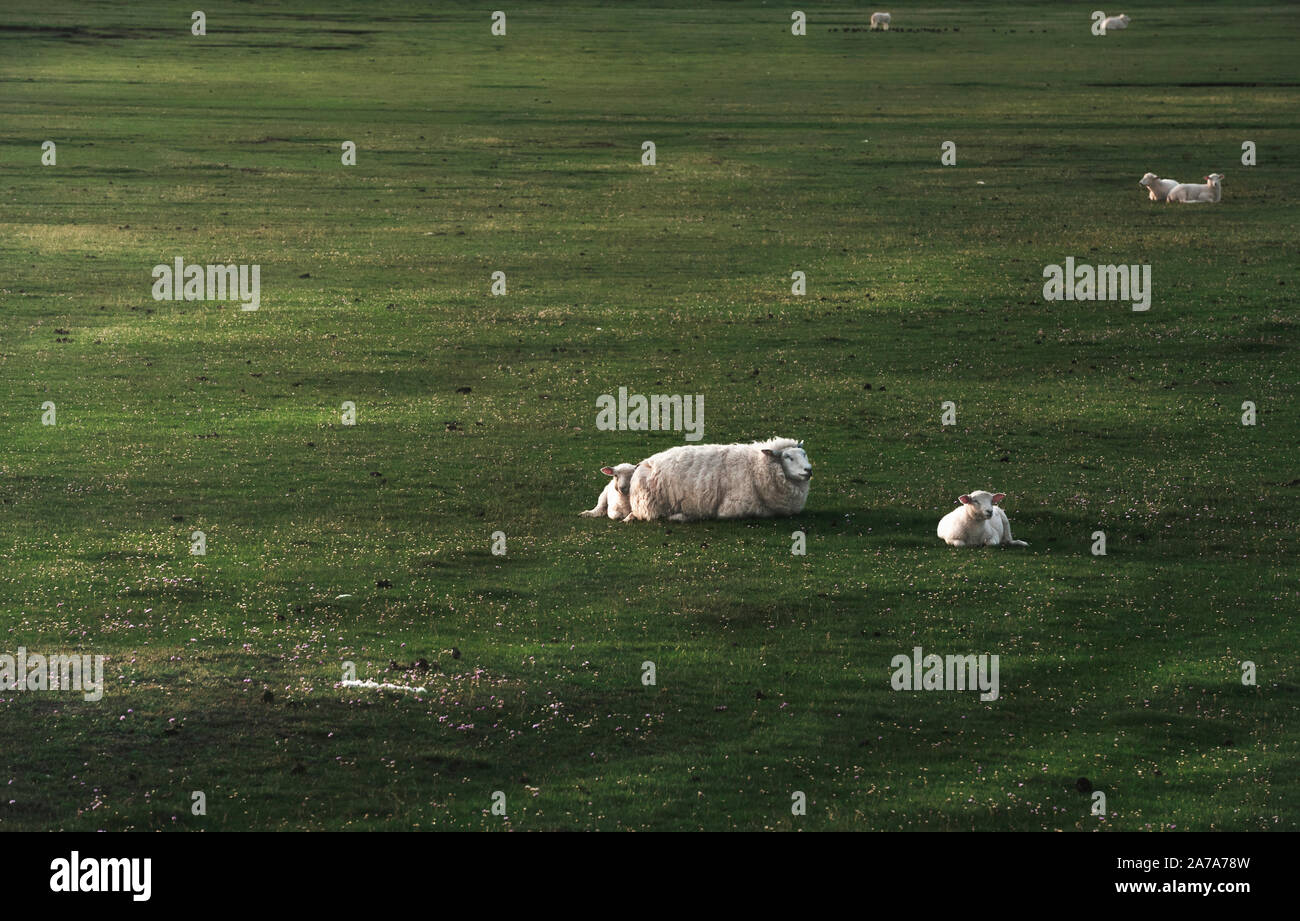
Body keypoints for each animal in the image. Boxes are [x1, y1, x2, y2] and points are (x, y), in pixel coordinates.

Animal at [626, 437, 811, 522]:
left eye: (804, 454)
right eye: (788, 457)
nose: (808, 470)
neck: (755, 466)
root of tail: (643, 463)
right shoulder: (734, 508)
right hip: (652, 508)